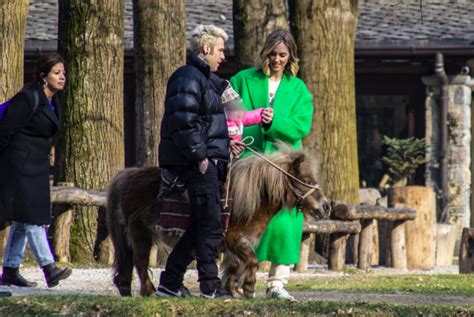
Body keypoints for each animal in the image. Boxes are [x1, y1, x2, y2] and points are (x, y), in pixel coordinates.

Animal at [106, 146, 332, 296]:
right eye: (307, 181)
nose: (326, 207)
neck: (251, 199)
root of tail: (126, 175)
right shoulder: (234, 239)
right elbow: (252, 261)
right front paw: (248, 289)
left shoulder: (235, 245)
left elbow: (234, 265)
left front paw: (231, 290)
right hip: (140, 233)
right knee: (140, 262)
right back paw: (149, 290)